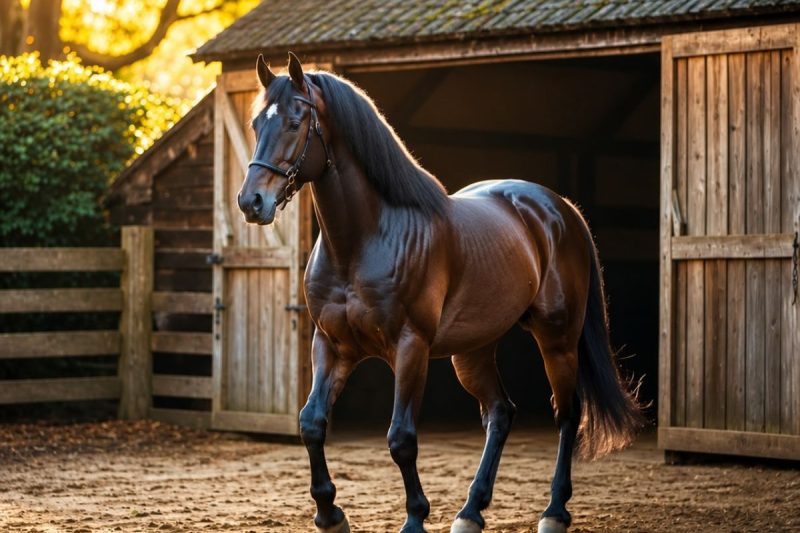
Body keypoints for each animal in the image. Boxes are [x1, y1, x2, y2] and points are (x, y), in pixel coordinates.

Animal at [237, 52, 644, 533]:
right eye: (256, 123)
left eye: (296, 122)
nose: (251, 202)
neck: (363, 241)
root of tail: (560, 209)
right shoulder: (332, 345)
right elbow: (311, 423)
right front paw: (330, 513)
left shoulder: (410, 347)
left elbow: (401, 437)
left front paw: (414, 517)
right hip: (473, 350)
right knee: (500, 413)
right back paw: (470, 512)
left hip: (557, 339)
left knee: (567, 413)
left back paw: (554, 512)